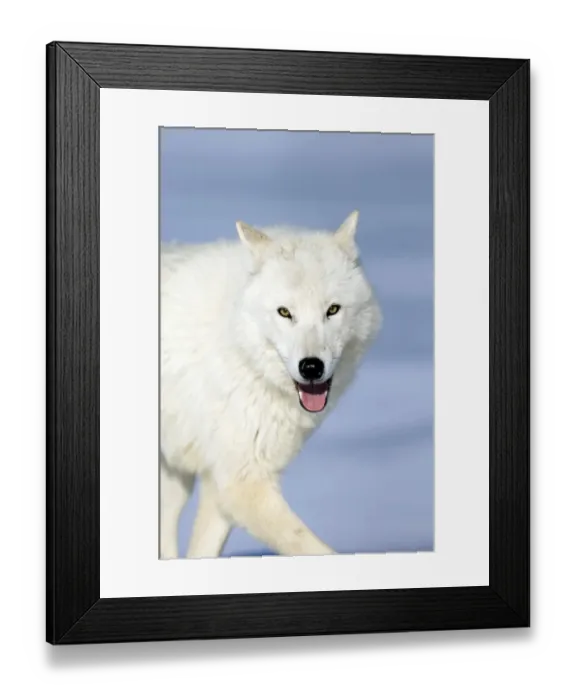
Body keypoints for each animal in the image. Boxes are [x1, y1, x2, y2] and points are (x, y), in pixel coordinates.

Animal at [160, 210, 383, 559]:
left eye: (332, 310)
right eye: (285, 312)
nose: (311, 367)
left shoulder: (224, 481)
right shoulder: (241, 480)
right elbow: (310, 546)